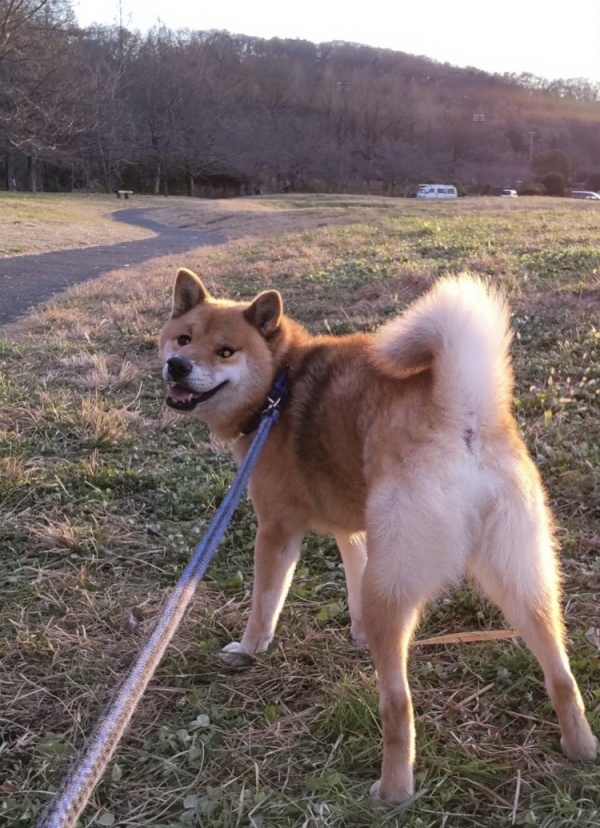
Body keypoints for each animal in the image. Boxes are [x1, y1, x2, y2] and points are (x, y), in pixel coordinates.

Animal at [159, 270, 596, 804]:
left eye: (225, 351)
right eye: (183, 339)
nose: (177, 366)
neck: (279, 382)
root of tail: (464, 414)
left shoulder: (278, 529)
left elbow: (265, 602)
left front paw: (249, 649)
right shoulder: (355, 532)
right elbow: (352, 582)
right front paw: (357, 631)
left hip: (394, 587)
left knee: (398, 705)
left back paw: (393, 790)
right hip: (522, 581)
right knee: (562, 675)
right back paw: (581, 748)